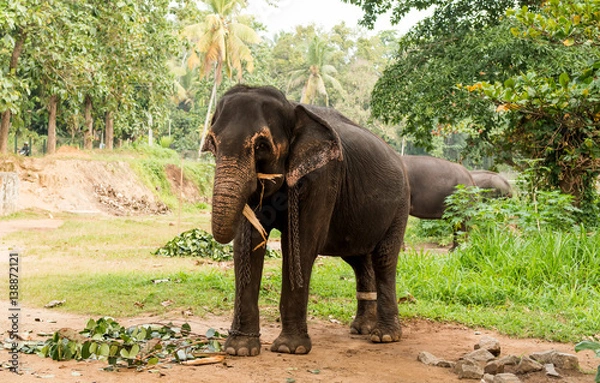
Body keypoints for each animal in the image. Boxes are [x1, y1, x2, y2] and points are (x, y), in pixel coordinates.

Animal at [204, 85, 410, 356]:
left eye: (261, 145)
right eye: (213, 143)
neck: (293, 109)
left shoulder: (323, 176)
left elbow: (300, 246)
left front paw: (290, 349)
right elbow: (246, 247)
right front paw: (240, 350)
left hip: (400, 205)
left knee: (384, 258)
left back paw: (384, 336)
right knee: (358, 259)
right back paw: (361, 329)